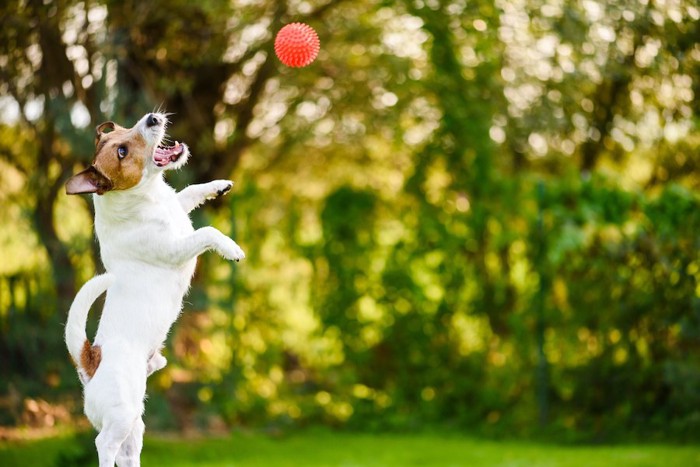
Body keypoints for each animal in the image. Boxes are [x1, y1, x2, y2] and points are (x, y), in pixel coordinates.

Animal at [65, 114, 246, 467]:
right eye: (122, 150)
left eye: (122, 130)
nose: (152, 118)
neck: (145, 197)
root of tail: (90, 360)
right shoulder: (176, 250)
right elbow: (207, 231)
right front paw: (230, 247)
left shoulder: (179, 206)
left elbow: (189, 191)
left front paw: (218, 185)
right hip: (122, 415)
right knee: (103, 443)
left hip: (135, 423)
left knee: (126, 453)